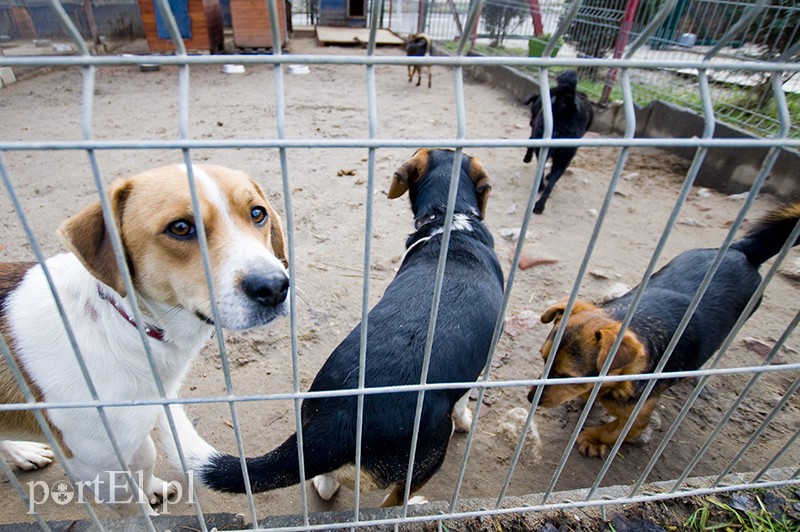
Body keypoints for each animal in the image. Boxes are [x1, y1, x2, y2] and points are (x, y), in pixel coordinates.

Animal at [0, 163, 288, 516]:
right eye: (180, 227)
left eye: (257, 213)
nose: (274, 287)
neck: (128, 329)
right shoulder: (98, 471)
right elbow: (135, 509)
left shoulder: (138, 429)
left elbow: (146, 457)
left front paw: (152, 487)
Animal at [193, 150, 504, 508]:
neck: (450, 222)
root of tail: (340, 419)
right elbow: (465, 400)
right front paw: (466, 421)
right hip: (430, 450)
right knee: (393, 503)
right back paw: (414, 504)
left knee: (326, 484)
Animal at [532, 204, 800, 458]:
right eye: (543, 359)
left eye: (567, 376)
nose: (530, 398)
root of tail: (742, 251)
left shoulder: (637, 417)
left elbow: (615, 431)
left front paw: (593, 439)